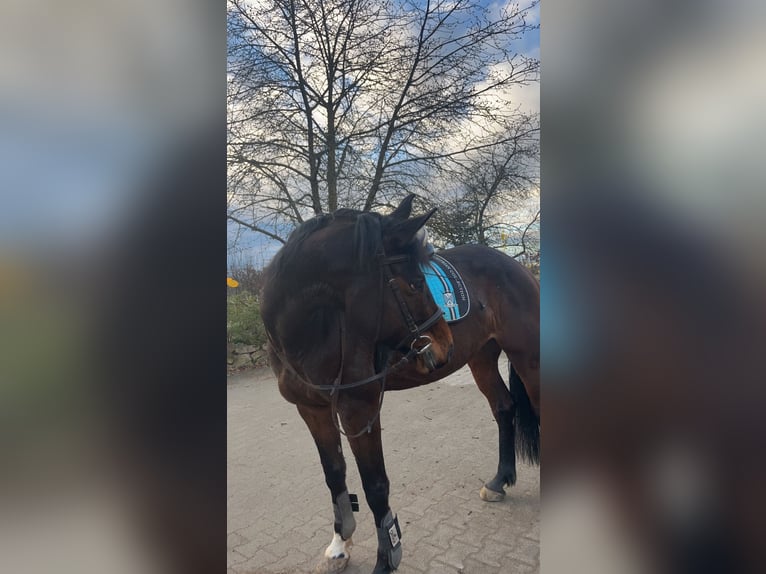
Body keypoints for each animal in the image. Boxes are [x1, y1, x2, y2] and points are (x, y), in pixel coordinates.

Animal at [260, 194, 540, 574]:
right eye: (415, 284)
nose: (445, 343)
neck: (315, 331)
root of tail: (516, 266)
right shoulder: (312, 410)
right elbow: (334, 475)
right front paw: (339, 545)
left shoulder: (359, 409)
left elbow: (376, 485)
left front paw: (386, 558)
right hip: (481, 357)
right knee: (504, 407)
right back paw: (499, 481)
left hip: (527, 354)